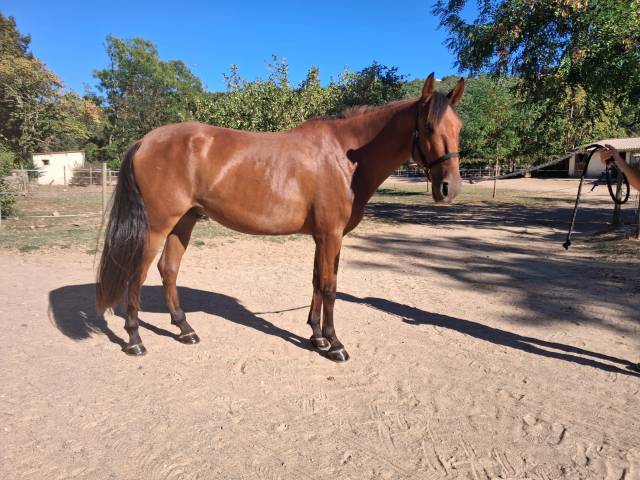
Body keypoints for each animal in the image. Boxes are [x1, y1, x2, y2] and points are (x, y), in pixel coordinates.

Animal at [96, 73, 464, 361]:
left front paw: (317, 337)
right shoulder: (330, 234)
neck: (345, 157)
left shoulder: (324, 237)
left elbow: (317, 281)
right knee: (136, 273)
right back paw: (134, 339)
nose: (450, 187)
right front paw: (335, 345)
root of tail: (145, 140)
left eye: (458, 127)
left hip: (184, 221)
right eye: (428, 127)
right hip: (157, 225)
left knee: (168, 269)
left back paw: (185, 329)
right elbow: (329, 286)